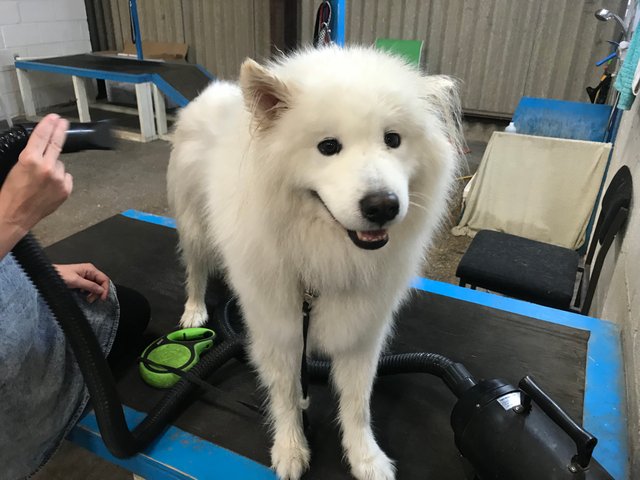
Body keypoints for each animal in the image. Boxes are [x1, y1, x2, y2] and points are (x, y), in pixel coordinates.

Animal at [168, 46, 462, 480]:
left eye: (393, 140)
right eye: (327, 146)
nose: (383, 206)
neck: (325, 251)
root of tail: (213, 92)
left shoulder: (362, 332)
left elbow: (357, 403)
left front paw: (366, 458)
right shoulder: (279, 332)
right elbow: (287, 396)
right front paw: (291, 449)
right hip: (193, 228)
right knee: (194, 271)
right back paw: (194, 310)